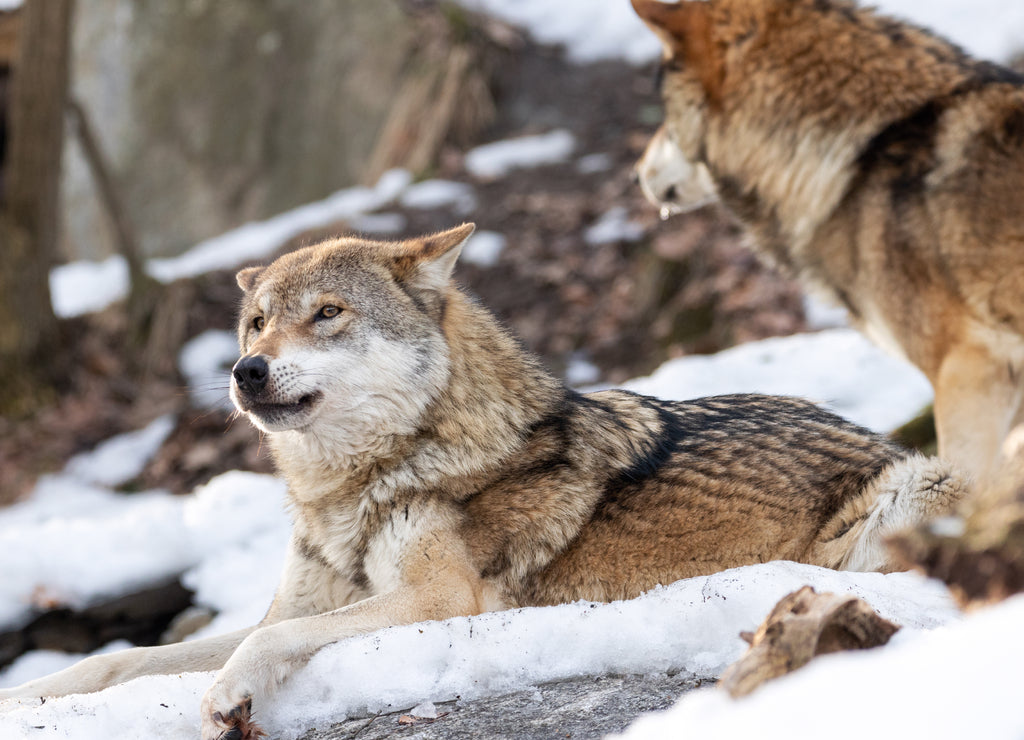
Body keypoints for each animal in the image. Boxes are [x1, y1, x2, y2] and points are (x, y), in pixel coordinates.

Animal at [2, 223, 966, 736]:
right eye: (256, 322)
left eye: (327, 314)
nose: (244, 371)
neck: (355, 488)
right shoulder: (299, 604)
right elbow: (126, 656)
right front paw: (30, 692)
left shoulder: (439, 602)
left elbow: (266, 647)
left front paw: (227, 696)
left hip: (916, 489)